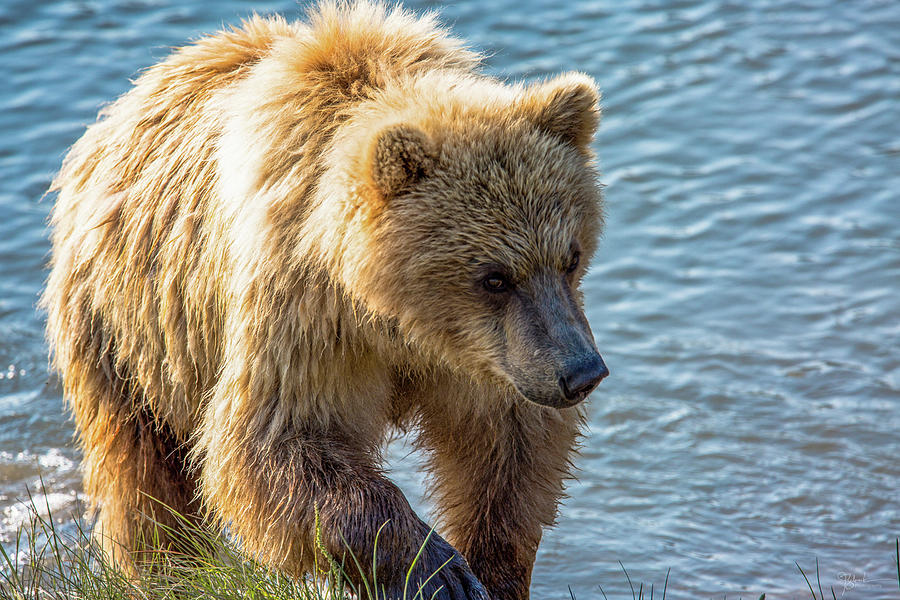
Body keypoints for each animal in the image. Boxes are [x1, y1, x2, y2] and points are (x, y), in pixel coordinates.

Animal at [40, 2, 604, 596]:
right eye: (494, 277)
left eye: (571, 256)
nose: (582, 372)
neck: (399, 320)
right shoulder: (305, 318)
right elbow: (280, 444)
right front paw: (435, 570)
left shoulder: (489, 357)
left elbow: (508, 449)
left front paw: (489, 570)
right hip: (125, 331)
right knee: (145, 478)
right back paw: (167, 570)